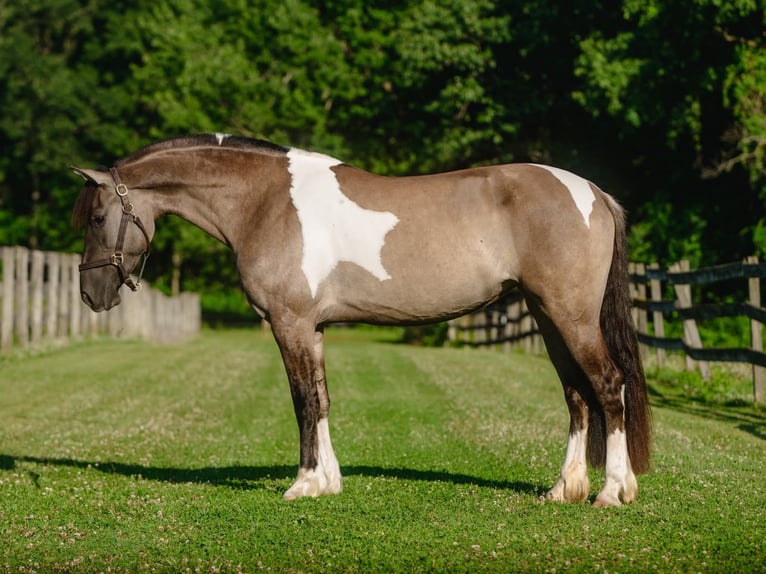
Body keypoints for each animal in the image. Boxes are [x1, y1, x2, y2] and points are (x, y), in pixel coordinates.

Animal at [71, 134, 651, 506]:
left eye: (98, 217)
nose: (90, 295)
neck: (264, 201)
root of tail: (593, 193)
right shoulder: (313, 328)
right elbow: (322, 399)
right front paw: (328, 482)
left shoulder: (290, 323)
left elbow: (303, 401)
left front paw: (302, 484)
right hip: (549, 317)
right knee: (576, 395)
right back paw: (564, 489)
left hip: (571, 318)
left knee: (607, 385)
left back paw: (611, 491)